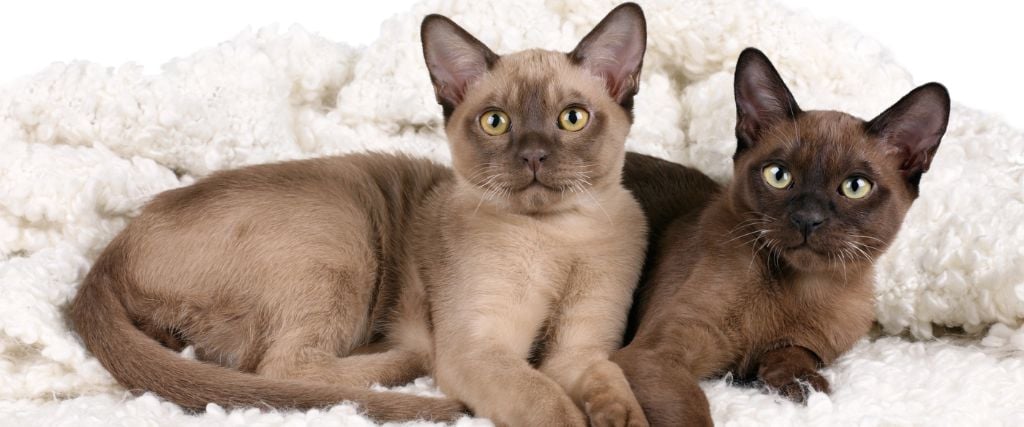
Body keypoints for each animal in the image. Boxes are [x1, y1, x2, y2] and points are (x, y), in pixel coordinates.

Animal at [70, 3, 647, 425]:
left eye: (571, 119)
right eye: (496, 122)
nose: (532, 155)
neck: (561, 237)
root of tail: (108, 254)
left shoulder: (579, 352)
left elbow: (613, 389)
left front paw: (619, 418)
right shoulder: (483, 349)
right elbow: (547, 401)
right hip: (344, 239)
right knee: (285, 370)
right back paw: (407, 355)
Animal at [606, 48, 950, 423]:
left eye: (855, 186)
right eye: (779, 175)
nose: (807, 219)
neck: (801, 289)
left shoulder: (810, 346)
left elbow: (793, 353)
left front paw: (803, 387)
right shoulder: (656, 357)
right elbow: (693, 413)